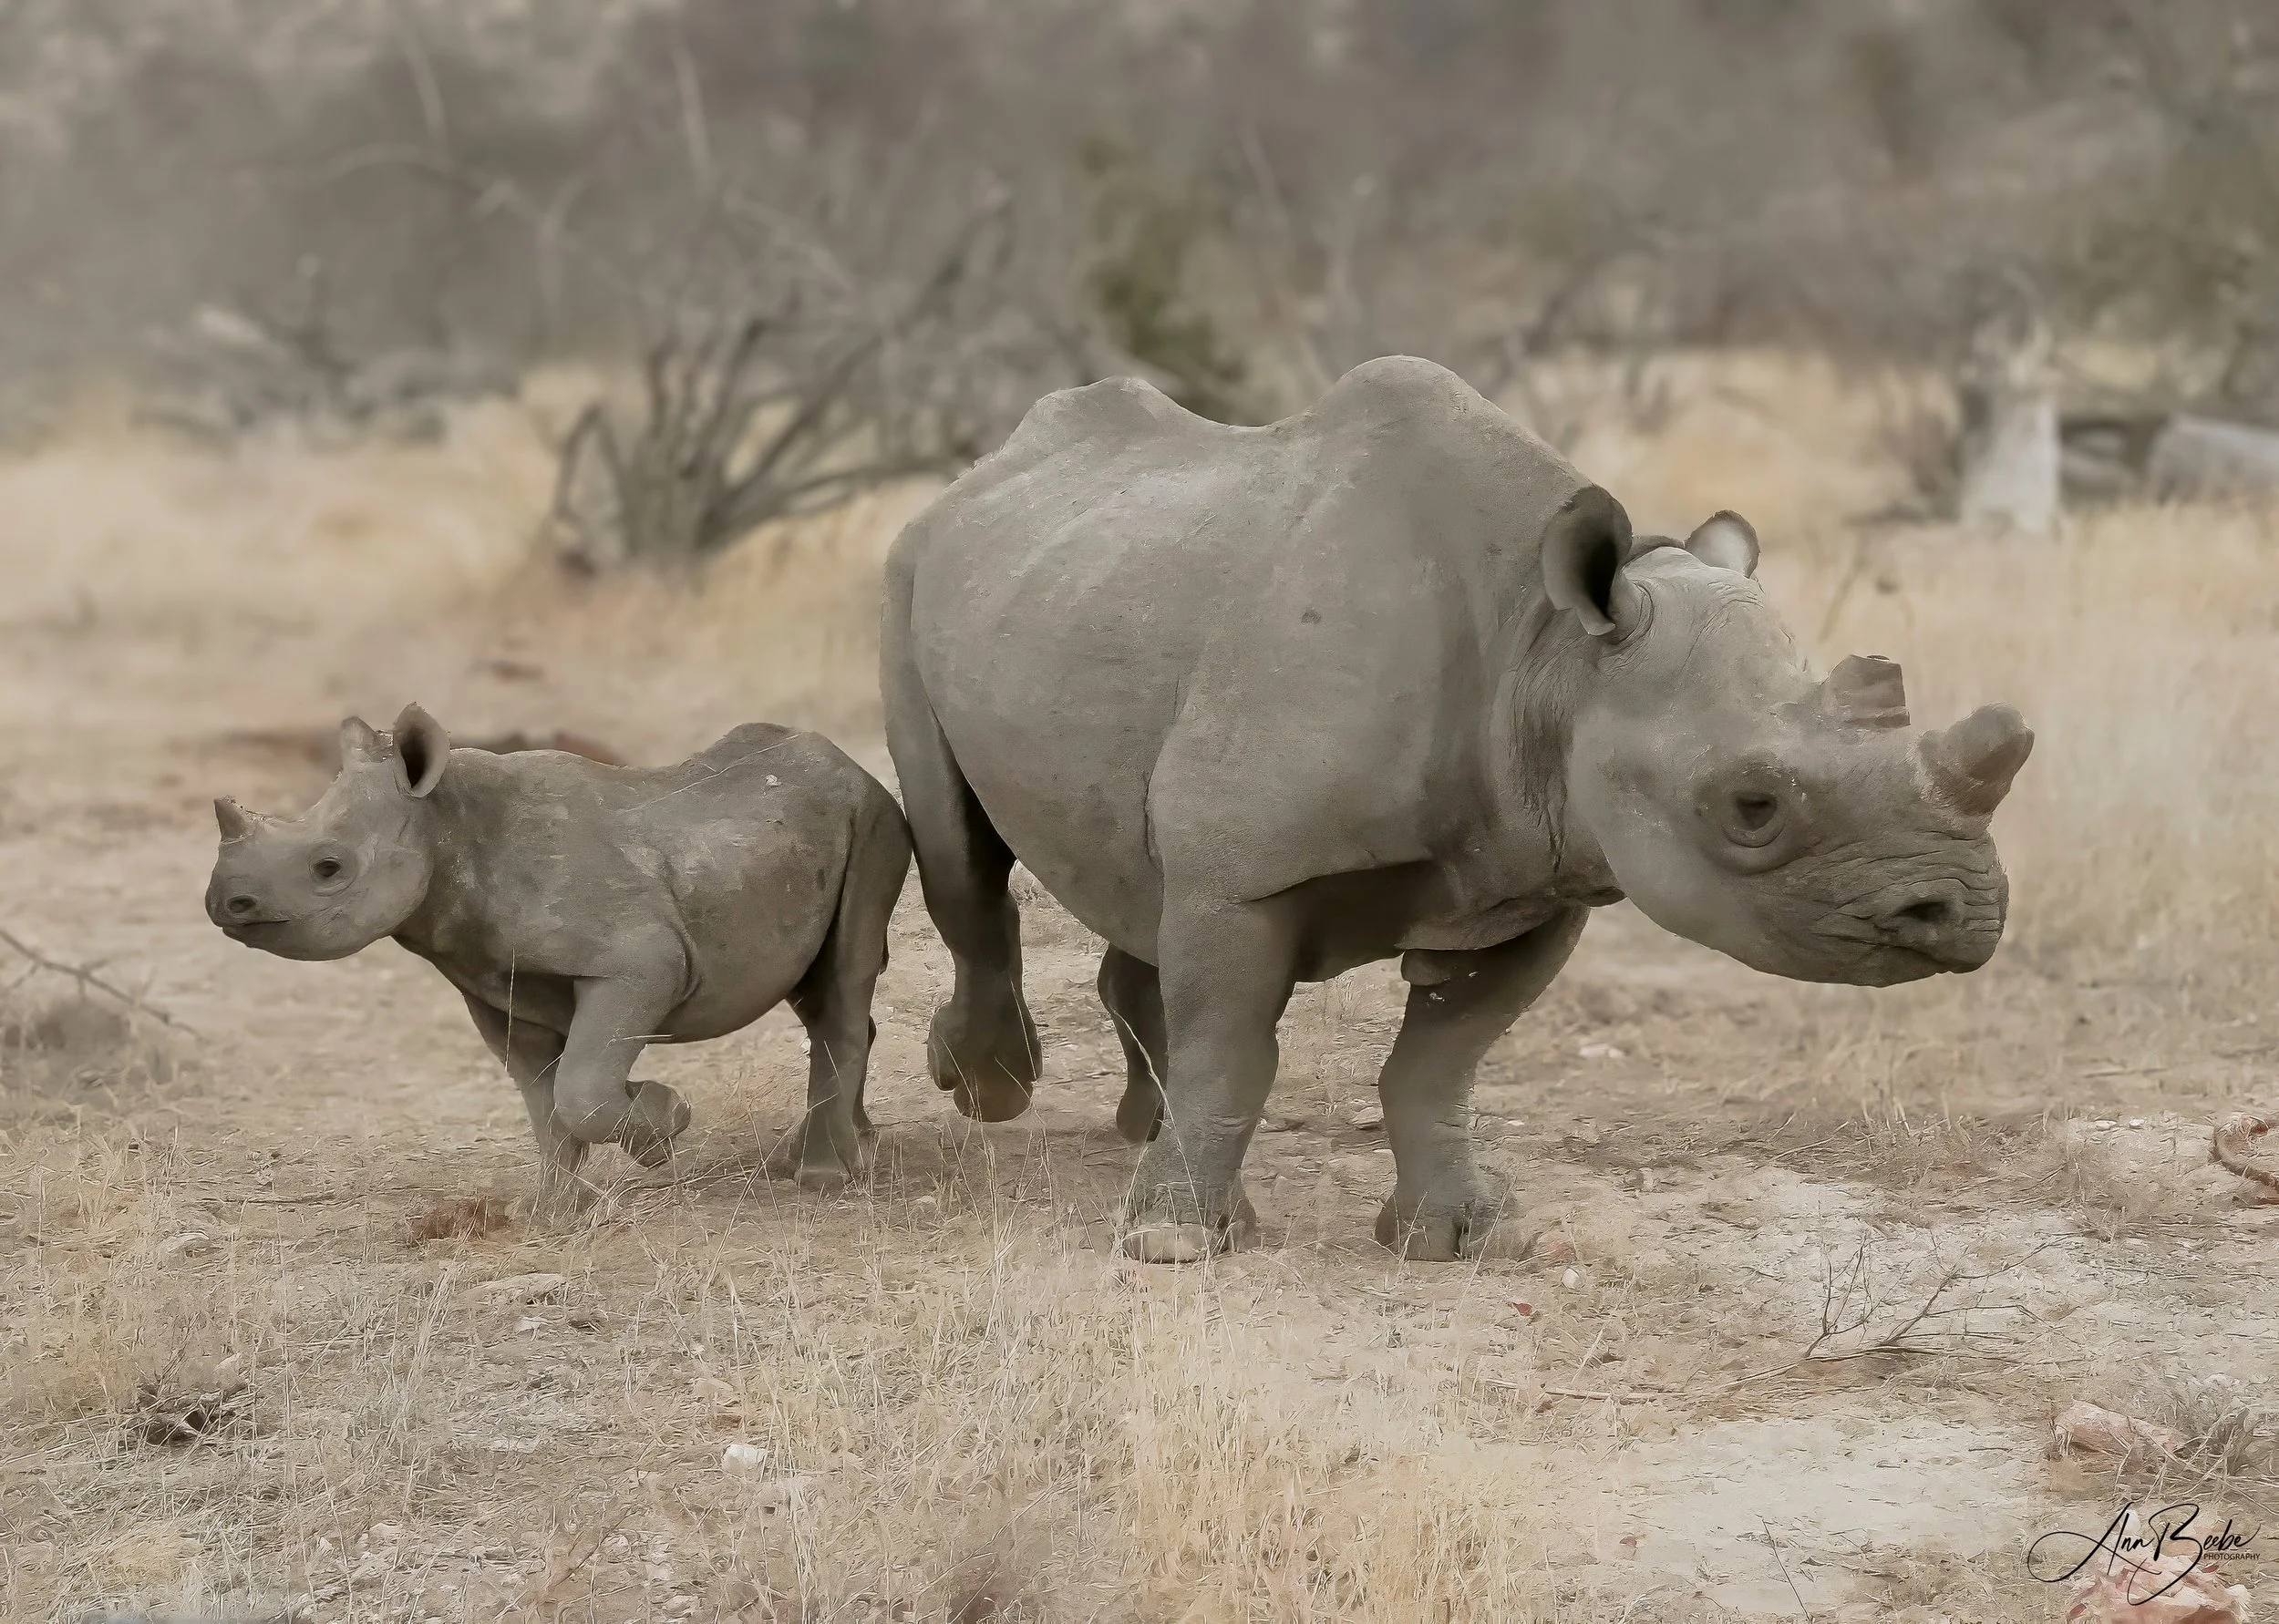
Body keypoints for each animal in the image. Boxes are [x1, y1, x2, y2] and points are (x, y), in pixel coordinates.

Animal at [204, 705, 910, 1205]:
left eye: (329, 868)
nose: (223, 903)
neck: (443, 824)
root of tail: (853, 763)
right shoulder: (494, 983)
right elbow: (542, 1099)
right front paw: (553, 1209)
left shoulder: (641, 962)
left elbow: (580, 1089)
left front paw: (663, 1118)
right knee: (817, 991)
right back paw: (842, 1152)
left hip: (877, 817)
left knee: (844, 978)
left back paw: (824, 1178)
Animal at [883, 356, 2034, 1264]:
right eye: (1751, 805)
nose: (1961, 914)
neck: (1552, 651)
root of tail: (977, 475)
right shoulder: (1249, 875)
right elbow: (1233, 1050)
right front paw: (1172, 1243)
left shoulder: (1536, 879)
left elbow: (1439, 1065)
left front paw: (1456, 1237)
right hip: (907, 573)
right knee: (959, 858)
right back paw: (992, 1091)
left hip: (1081, 582)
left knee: (1134, 879)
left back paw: (1134, 1128)